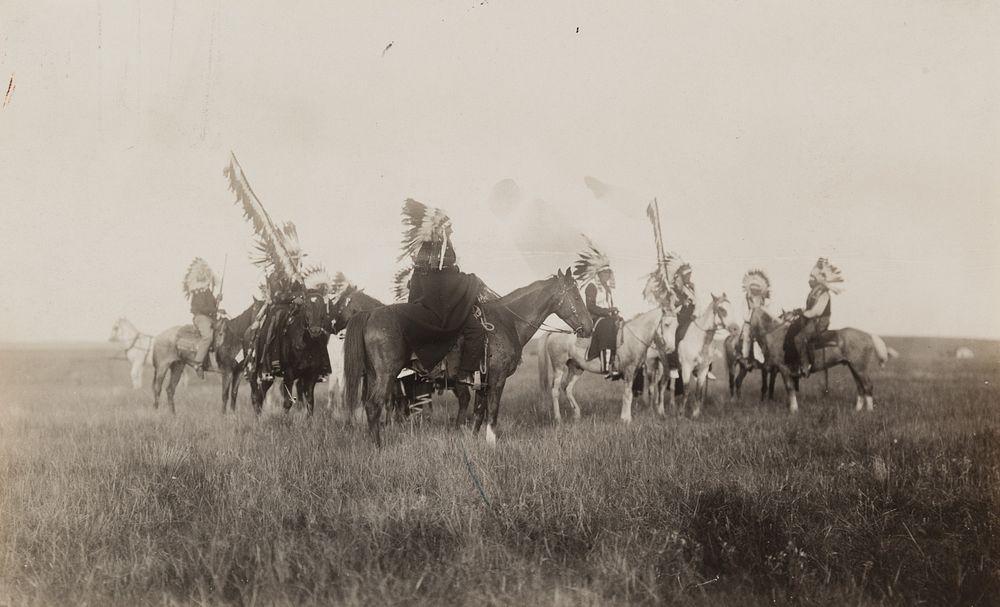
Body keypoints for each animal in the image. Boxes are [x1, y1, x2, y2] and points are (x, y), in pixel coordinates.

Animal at [249, 290, 332, 418]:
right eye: (306, 306)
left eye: (323, 307)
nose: (315, 331)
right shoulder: (289, 373)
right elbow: (287, 402)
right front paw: (284, 421)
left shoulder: (311, 375)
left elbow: (310, 402)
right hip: (262, 373)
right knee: (257, 396)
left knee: (260, 396)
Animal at [344, 270, 592, 446]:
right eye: (576, 296)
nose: (588, 327)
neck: (507, 322)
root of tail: (369, 315)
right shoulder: (497, 378)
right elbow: (492, 410)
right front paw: (491, 443)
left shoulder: (483, 380)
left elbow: (479, 411)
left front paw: (473, 439)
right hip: (386, 374)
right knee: (374, 406)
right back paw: (378, 447)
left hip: (374, 375)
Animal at [540, 308, 680, 422]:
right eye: (666, 324)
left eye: (677, 326)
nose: (671, 348)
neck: (634, 337)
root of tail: (554, 332)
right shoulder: (629, 370)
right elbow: (628, 395)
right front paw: (626, 419)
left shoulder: (634, 371)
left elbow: (627, 393)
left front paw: (624, 417)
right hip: (559, 366)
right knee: (555, 390)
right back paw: (558, 418)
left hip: (576, 368)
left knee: (567, 388)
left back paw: (577, 414)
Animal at [752, 304, 892, 414]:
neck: (777, 335)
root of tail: (869, 335)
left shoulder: (784, 369)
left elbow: (789, 388)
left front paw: (794, 410)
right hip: (853, 367)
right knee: (860, 387)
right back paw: (857, 410)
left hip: (860, 368)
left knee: (868, 386)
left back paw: (869, 411)